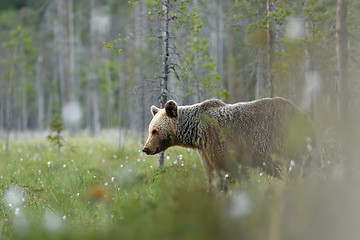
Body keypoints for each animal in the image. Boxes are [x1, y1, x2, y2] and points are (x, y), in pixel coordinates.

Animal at [143, 97, 316, 188]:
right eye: (150, 130)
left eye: (155, 131)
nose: (145, 148)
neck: (197, 132)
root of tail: (301, 113)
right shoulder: (206, 151)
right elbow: (212, 174)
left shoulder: (220, 142)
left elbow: (231, 172)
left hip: (282, 138)